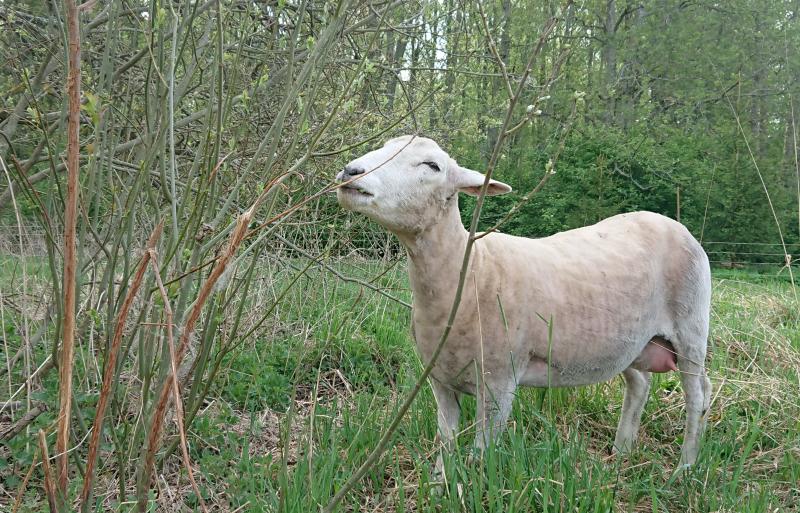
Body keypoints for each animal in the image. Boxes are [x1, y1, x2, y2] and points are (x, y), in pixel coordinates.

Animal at [336, 135, 712, 468]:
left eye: (432, 165)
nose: (350, 172)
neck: (469, 269)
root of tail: (675, 225)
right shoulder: (440, 380)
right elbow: (446, 443)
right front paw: (441, 483)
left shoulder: (500, 384)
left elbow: (478, 456)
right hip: (631, 342)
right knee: (639, 385)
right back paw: (621, 453)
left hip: (691, 328)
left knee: (698, 394)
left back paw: (685, 467)